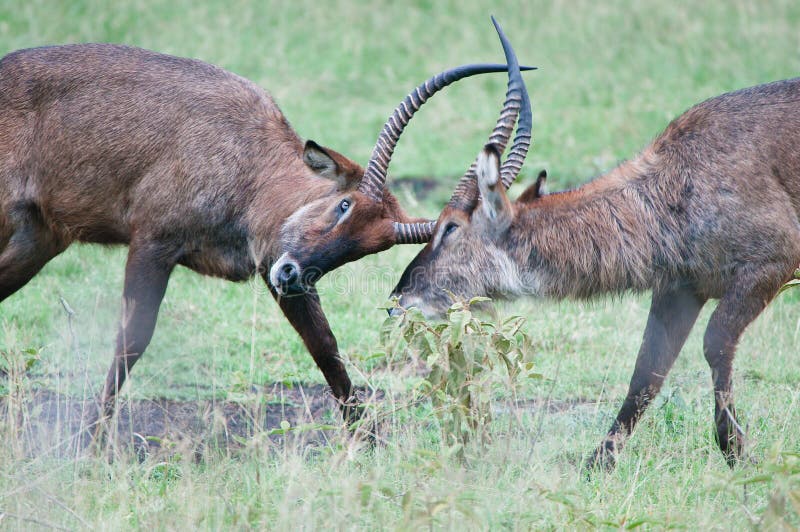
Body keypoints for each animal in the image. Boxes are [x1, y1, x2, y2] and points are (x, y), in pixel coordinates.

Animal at [0, 37, 520, 428]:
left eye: (368, 249)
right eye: (344, 204)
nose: (292, 274)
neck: (245, 163)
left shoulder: (276, 267)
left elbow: (326, 349)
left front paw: (367, 444)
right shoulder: (153, 243)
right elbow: (132, 338)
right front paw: (93, 440)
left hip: (37, 241)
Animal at [390, 74, 800, 470]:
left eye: (450, 227)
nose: (397, 299)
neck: (673, 186)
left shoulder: (770, 265)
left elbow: (715, 341)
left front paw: (735, 450)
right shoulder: (680, 291)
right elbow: (647, 371)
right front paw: (598, 463)